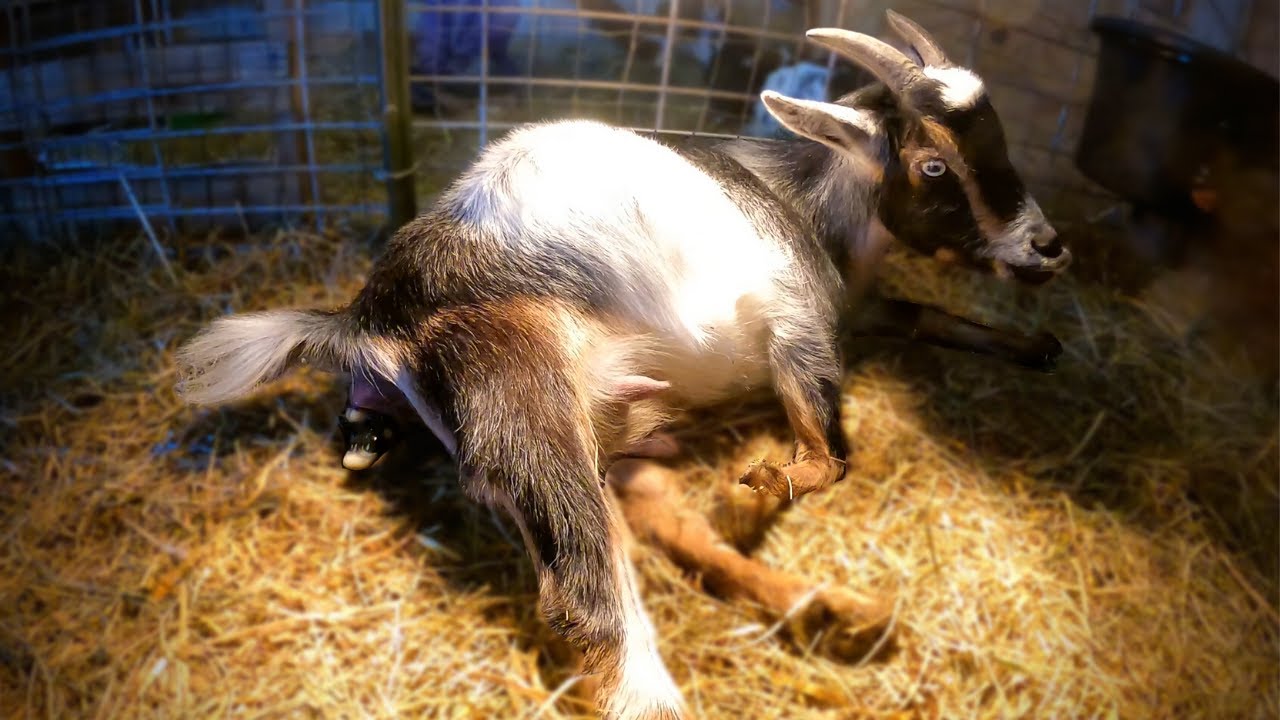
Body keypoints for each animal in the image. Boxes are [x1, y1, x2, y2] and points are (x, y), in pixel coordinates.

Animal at [174, 12, 1071, 719]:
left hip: (600, 417)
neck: (808, 204)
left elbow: (926, 315)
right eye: (933, 163)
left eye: (1000, 139)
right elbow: (830, 451)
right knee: (594, 600)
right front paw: (752, 490)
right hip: (530, 407)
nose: (1049, 247)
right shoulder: (800, 321)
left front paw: (1041, 347)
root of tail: (374, 314)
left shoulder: (858, 304)